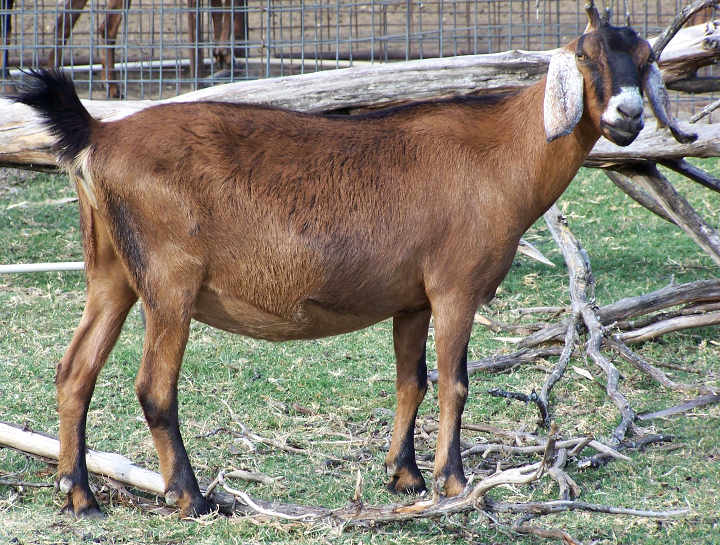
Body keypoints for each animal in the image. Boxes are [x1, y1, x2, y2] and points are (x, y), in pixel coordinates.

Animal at [15, 4, 692, 520]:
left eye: (646, 60)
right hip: (169, 281)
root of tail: (99, 134)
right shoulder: (455, 286)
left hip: (111, 275)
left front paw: (405, 476)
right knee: (154, 386)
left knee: (74, 372)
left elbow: (411, 379)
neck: (501, 151)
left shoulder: (413, 298)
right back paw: (190, 496)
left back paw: (80, 497)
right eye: (587, 57)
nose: (629, 115)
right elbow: (455, 381)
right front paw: (452, 482)